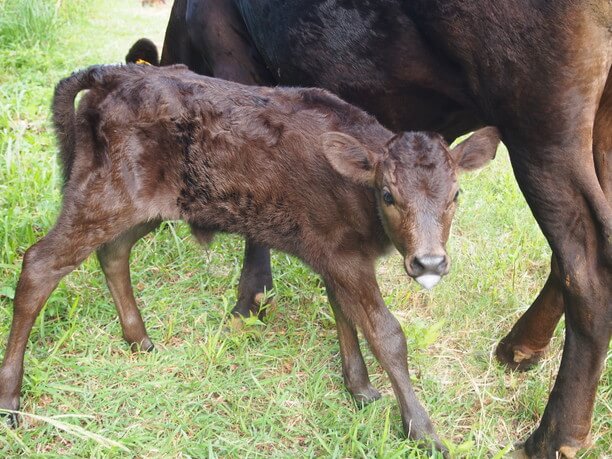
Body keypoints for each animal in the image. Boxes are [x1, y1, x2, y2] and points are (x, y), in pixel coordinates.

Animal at [0, 63, 500, 454]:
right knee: (40, 265)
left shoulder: (335, 256)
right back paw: (10, 399)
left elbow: (345, 316)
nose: (430, 263)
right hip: (100, 196)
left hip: (150, 206)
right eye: (389, 194)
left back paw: (139, 339)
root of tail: (110, 74)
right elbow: (387, 333)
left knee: (113, 251)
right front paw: (424, 433)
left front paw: (359, 390)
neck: (355, 188)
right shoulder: (345, 257)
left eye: (456, 195)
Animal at [136, 0, 608, 459]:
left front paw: (250, 300)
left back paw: (553, 437)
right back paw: (520, 348)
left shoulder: (232, 61)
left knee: (587, 266)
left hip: (541, 119)